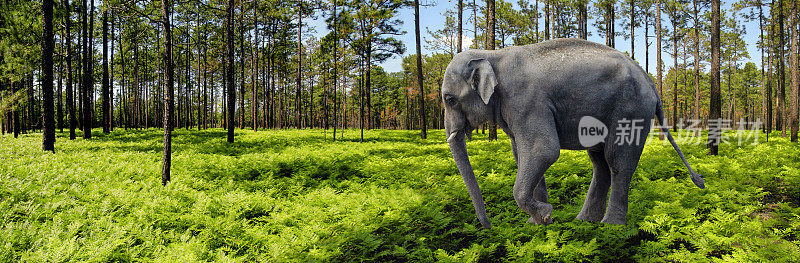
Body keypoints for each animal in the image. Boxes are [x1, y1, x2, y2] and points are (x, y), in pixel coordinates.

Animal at [444, 38, 708, 230]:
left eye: (449, 99)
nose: (489, 228)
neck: (492, 54)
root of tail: (650, 81)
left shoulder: (527, 102)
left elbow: (543, 151)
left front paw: (545, 214)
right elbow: (523, 156)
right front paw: (536, 223)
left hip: (631, 110)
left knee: (618, 162)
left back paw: (611, 227)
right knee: (600, 163)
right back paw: (585, 221)